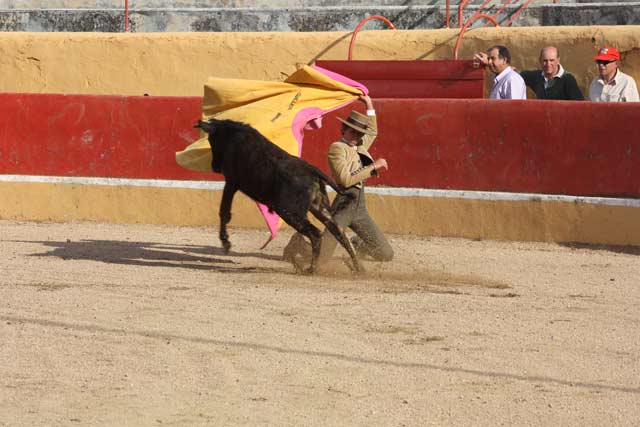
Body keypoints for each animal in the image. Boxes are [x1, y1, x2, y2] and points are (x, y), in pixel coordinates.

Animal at [195, 119, 362, 274]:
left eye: (211, 141)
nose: (214, 166)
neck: (231, 134)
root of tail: (313, 170)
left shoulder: (231, 182)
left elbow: (224, 211)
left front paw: (226, 243)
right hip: (318, 208)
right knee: (339, 232)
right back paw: (358, 269)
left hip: (289, 212)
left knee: (316, 234)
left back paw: (310, 269)